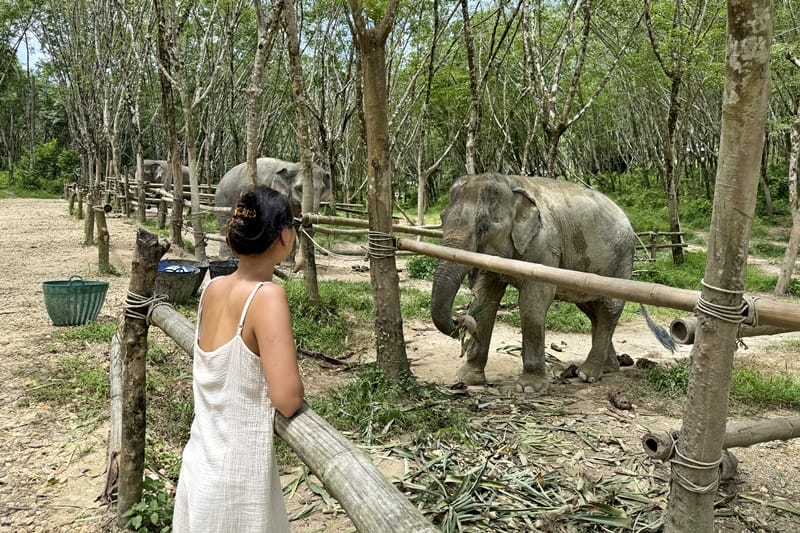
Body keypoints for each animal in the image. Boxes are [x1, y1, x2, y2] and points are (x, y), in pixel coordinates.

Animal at [430, 173, 673, 393]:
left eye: (483, 226)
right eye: (442, 219)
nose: (460, 320)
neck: (512, 182)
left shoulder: (545, 246)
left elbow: (532, 303)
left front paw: (529, 388)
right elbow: (485, 298)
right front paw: (467, 379)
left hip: (620, 262)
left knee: (608, 309)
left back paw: (587, 375)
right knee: (593, 311)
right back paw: (608, 368)